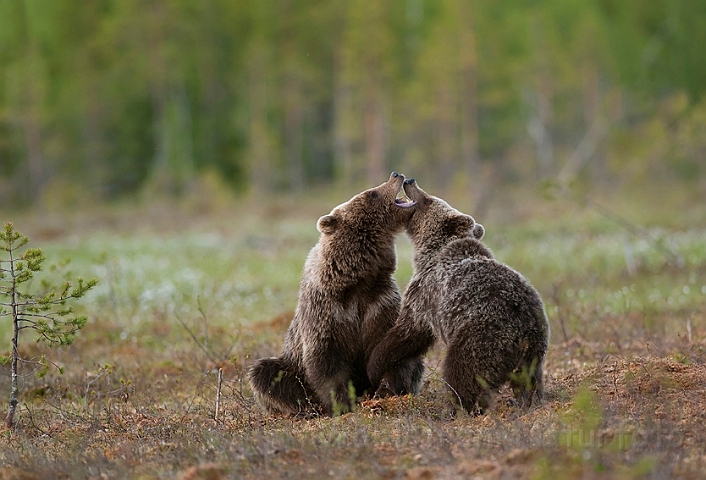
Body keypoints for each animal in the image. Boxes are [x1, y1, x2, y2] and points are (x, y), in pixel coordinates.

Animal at [249, 172, 424, 416]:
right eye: (371, 193)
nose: (396, 174)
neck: (357, 281)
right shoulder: (327, 310)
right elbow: (325, 359)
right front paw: (343, 404)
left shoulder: (380, 303)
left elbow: (394, 349)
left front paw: (385, 392)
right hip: (290, 365)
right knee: (266, 373)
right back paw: (305, 408)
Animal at [366, 179, 552, 412]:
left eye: (427, 200)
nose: (409, 181)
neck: (430, 252)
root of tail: (524, 327)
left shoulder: (427, 293)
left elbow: (408, 332)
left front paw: (374, 363)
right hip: (534, 351)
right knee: (529, 380)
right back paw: (527, 401)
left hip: (480, 335)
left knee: (463, 373)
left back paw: (457, 407)